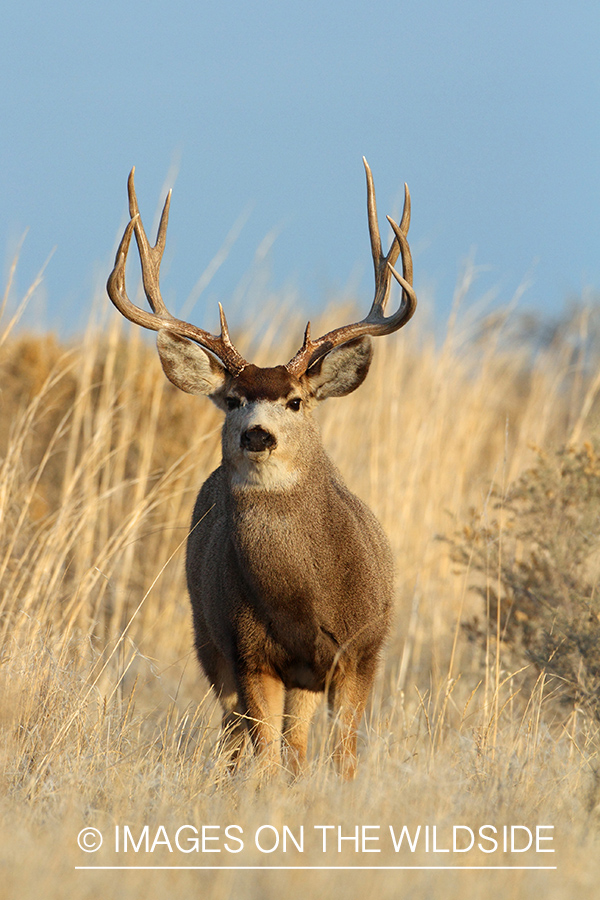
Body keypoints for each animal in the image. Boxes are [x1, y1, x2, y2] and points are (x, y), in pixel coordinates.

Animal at [106, 160, 416, 780]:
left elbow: (342, 758)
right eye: (231, 399)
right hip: (209, 639)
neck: (304, 598)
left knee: (298, 746)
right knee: (237, 738)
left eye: (295, 401)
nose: (257, 434)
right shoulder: (251, 653)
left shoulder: (361, 651)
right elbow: (266, 757)